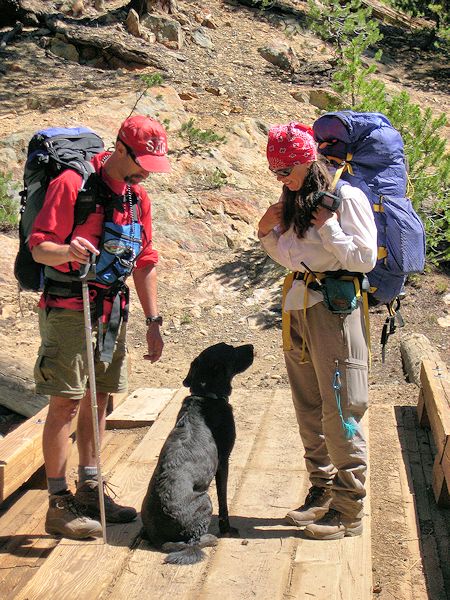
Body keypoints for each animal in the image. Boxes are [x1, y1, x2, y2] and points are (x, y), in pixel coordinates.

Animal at [141, 342, 253, 564]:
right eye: (232, 350)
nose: (252, 346)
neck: (205, 394)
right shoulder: (223, 461)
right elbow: (223, 501)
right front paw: (226, 529)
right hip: (205, 501)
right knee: (195, 541)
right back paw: (211, 538)